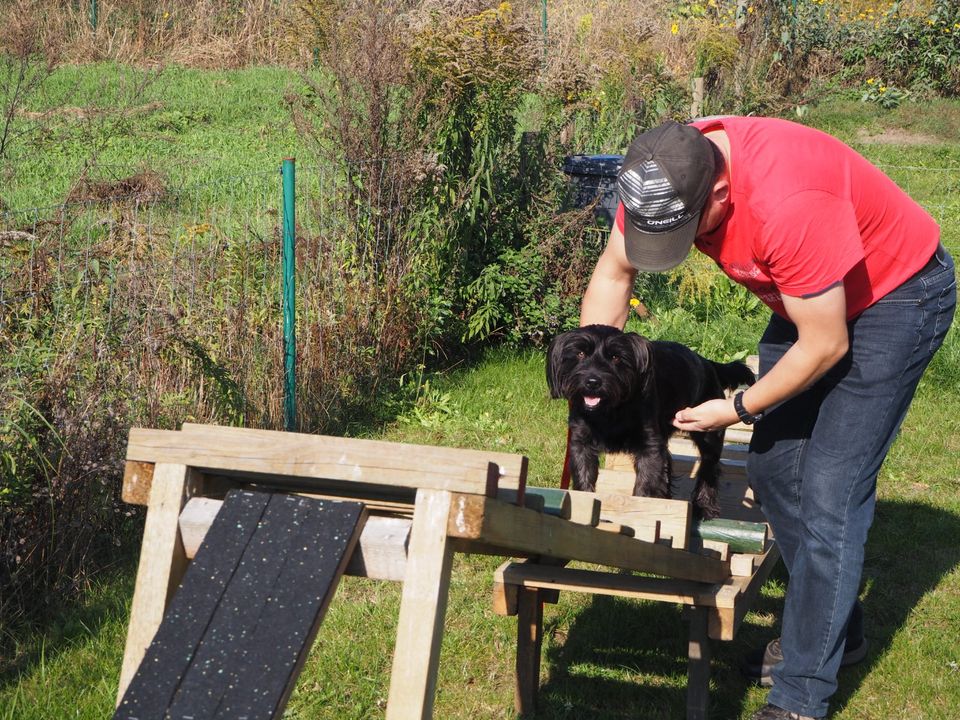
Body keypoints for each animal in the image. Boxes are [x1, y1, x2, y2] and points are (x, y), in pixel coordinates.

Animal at [548, 324, 756, 516]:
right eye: (580, 353)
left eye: (616, 357)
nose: (593, 382)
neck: (610, 411)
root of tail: (708, 363)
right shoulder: (581, 444)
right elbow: (584, 477)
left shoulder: (650, 446)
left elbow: (646, 483)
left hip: (709, 435)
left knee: (709, 468)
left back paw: (704, 507)